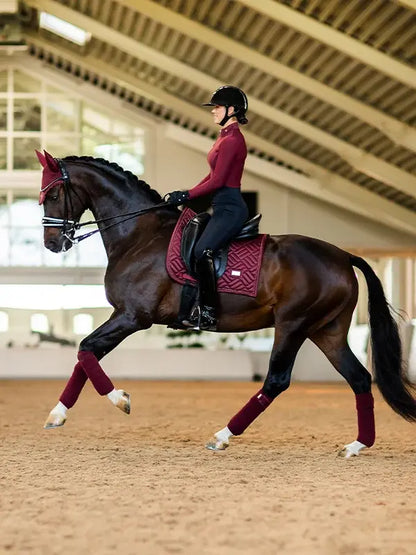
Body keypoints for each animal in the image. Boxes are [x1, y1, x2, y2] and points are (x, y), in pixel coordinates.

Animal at [37, 150, 414, 458]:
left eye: (53, 194)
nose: (53, 243)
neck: (140, 235)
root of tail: (343, 256)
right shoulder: (126, 317)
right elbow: (86, 355)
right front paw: (57, 414)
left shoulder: (132, 316)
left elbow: (86, 349)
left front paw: (121, 401)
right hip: (327, 331)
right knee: (360, 378)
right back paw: (357, 445)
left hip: (293, 325)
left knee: (277, 381)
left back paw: (222, 436)